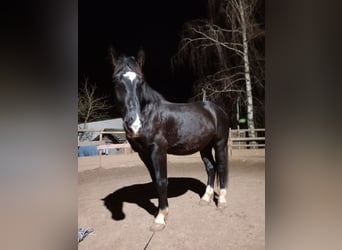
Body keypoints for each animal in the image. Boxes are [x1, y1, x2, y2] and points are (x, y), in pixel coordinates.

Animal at [111, 47, 230, 231]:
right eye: (116, 81)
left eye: (141, 81)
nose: (134, 125)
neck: (150, 114)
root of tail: (216, 110)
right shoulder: (143, 154)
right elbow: (155, 180)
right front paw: (157, 212)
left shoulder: (158, 151)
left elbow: (161, 181)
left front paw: (160, 218)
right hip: (204, 147)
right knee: (211, 168)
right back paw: (205, 198)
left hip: (220, 144)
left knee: (222, 168)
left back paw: (222, 202)